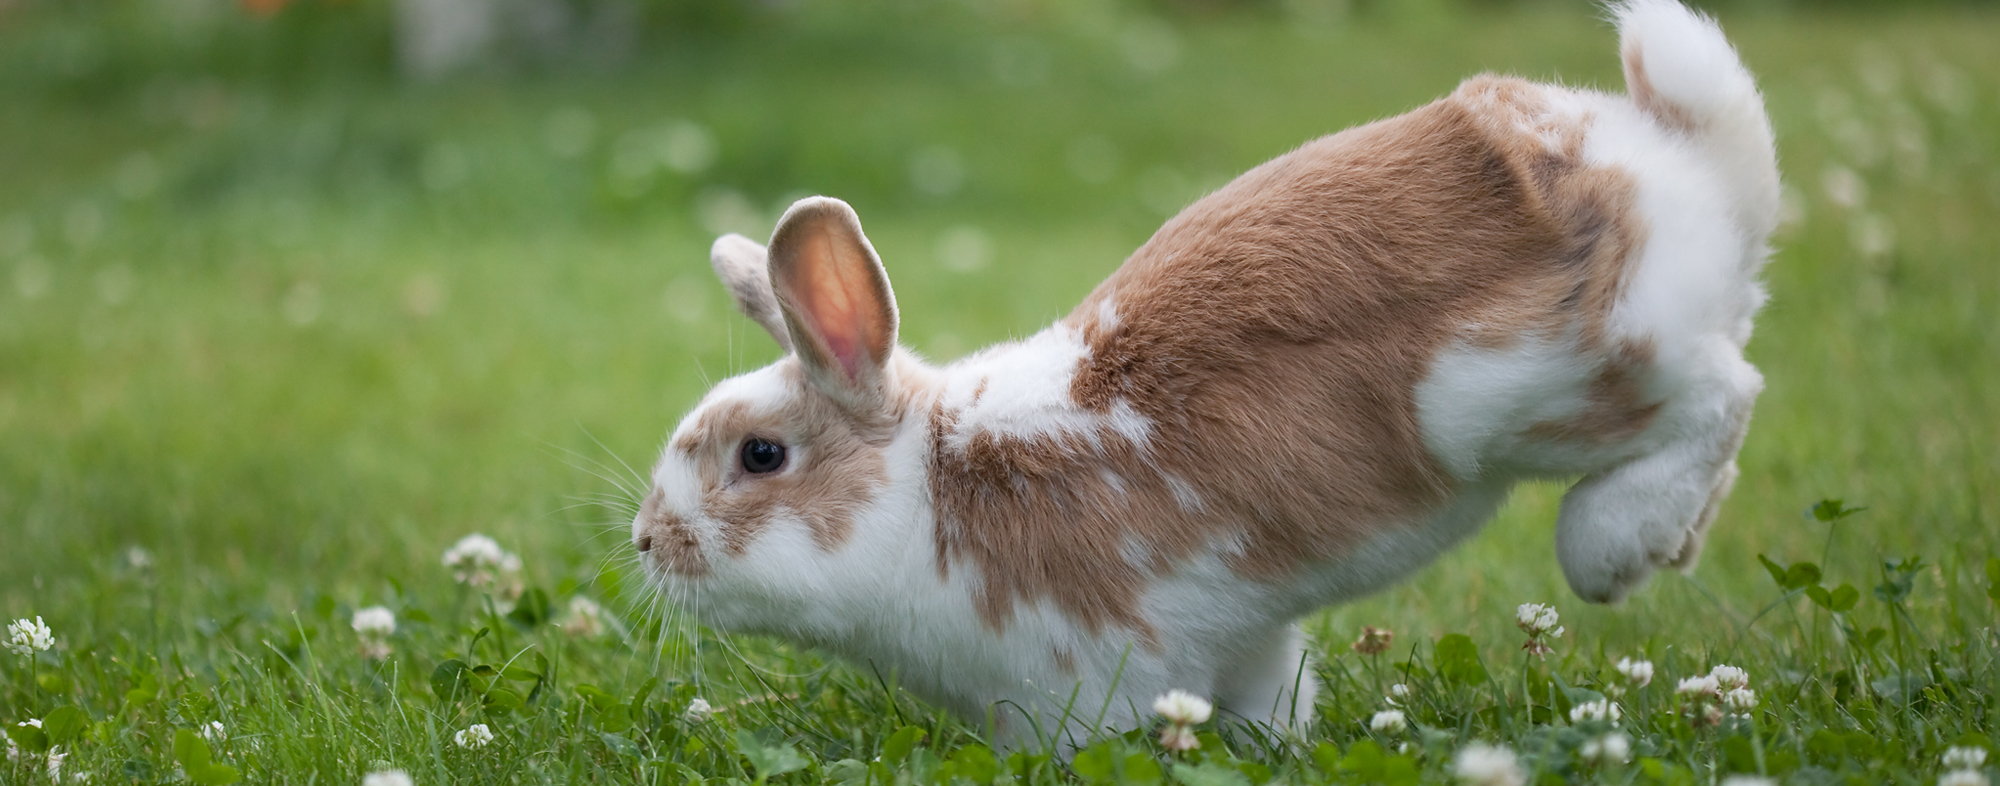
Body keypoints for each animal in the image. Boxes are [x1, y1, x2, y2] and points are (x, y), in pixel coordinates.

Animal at [632, 0, 1776, 748]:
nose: (646, 541)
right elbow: (1270, 705)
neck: (931, 487)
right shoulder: (1243, 645)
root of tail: (1673, 161)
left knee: (1724, 394)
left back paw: (1611, 548)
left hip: (1539, 390)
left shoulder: (1085, 684)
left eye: (761, 455)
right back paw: (1668, 545)